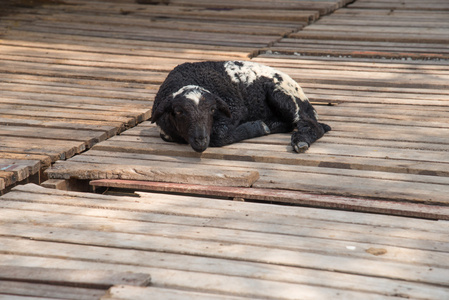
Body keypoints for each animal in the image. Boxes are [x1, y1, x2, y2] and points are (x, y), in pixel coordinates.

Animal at [150, 61, 328, 155]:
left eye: (212, 110)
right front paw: (261, 126)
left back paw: (300, 141)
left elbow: (219, 136)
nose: (201, 140)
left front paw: (257, 127)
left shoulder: (235, 109)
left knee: (312, 125)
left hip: (282, 94)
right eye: (179, 112)